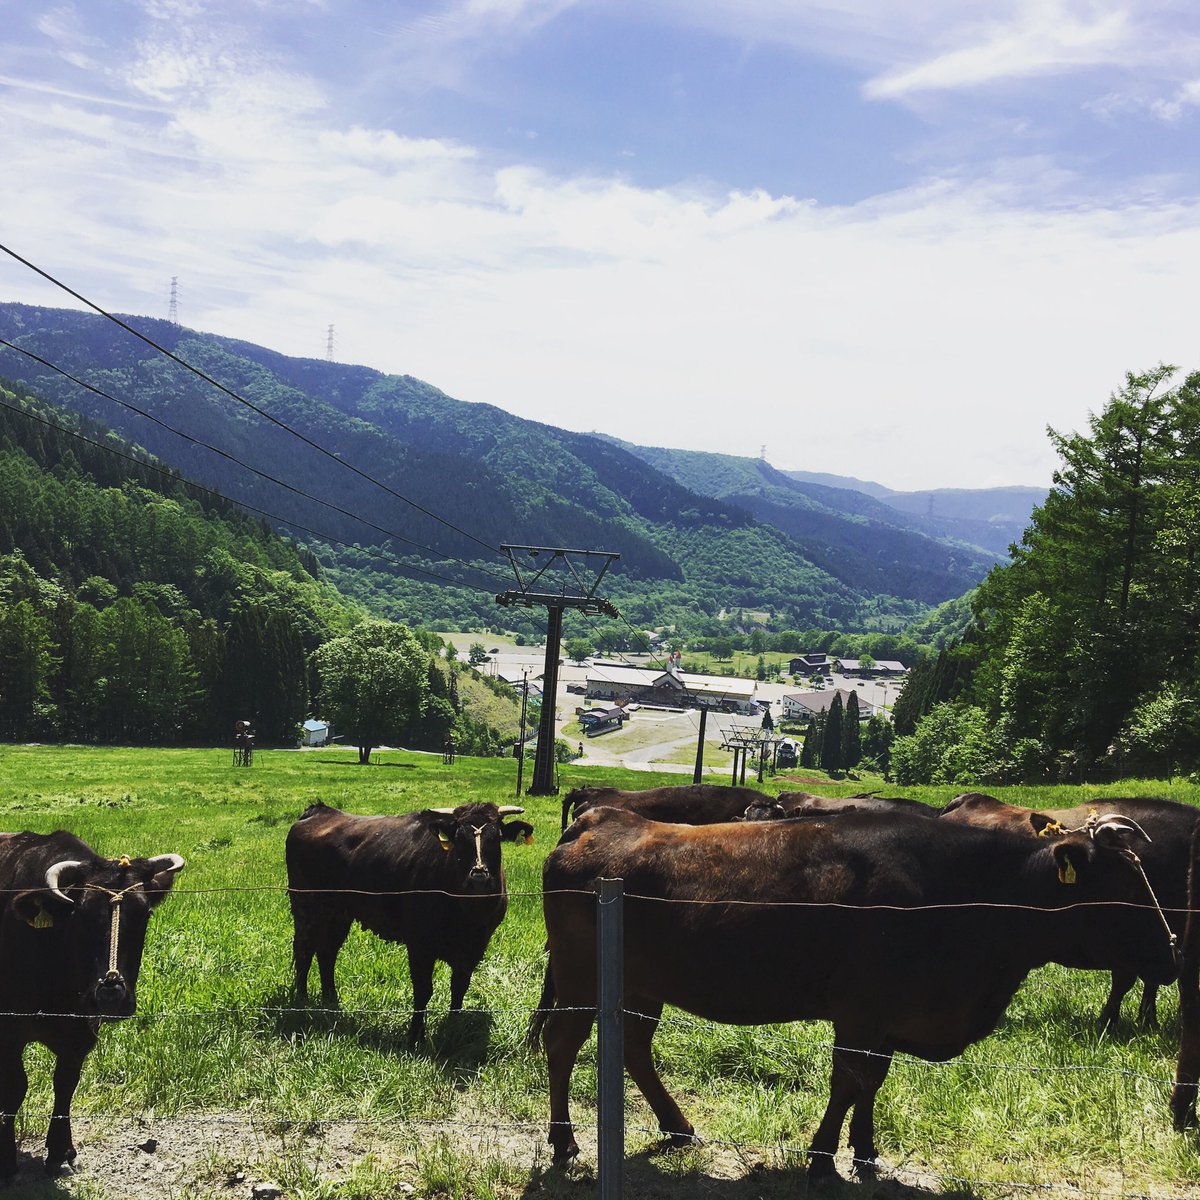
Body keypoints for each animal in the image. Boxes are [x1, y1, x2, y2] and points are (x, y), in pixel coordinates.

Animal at [530, 806, 1176, 1180]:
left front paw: (864, 1150)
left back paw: (677, 1126)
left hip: (643, 986)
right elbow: (850, 1080)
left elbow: (871, 1083)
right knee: (562, 1045)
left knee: (635, 1050)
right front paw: (822, 1156)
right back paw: (564, 1143)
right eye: (1123, 886)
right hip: (583, 982)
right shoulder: (862, 1012)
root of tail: (601, 819)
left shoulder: (887, 1016)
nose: (1171, 953)